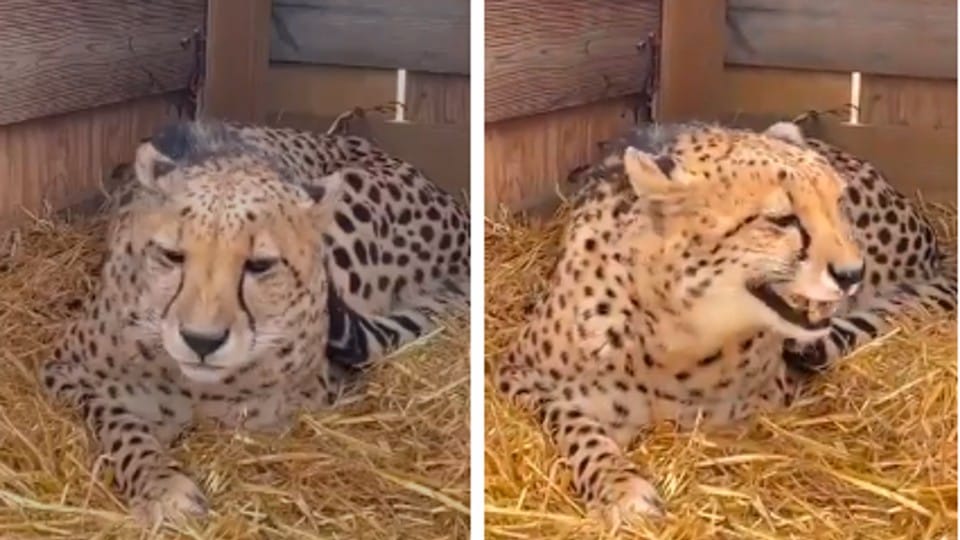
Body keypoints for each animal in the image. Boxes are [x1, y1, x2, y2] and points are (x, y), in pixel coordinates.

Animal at [40, 119, 470, 525]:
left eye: (259, 265)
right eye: (172, 255)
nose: (201, 341)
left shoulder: (302, 398)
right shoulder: (62, 370)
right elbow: (116, 419)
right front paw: (160, 485)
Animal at [493, 121, 955, 525]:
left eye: (837, 205)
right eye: (781, 219)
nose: (851, 273)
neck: (681, 337)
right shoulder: (514, 373)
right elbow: (570, 419)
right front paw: (619, 487)